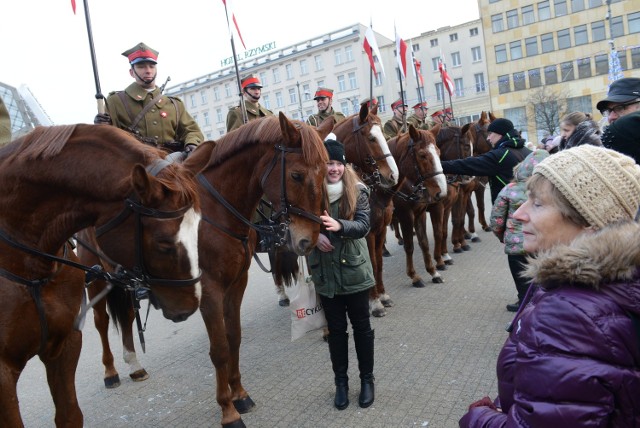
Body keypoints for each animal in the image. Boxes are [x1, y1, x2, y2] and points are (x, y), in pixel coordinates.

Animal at [0, 122, 201, 426]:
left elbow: (70, 415)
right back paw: (111, 371)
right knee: (102, 321)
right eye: (164, 243)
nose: (189, 307)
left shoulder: (64, 344)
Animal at [182, 113, 328, 428]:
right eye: (296, 175)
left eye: (325, 173)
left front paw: (239, 393)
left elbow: (234, 337)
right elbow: (219, 349)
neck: (212, 212)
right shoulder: (210, 290)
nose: (309, 241)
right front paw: (228, 409)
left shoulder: (237, 282)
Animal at [364, 125, 444, 316]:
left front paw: (433, 272)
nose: (441, 191)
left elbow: (423, 243)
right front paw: (414, 276)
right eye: (422, 155)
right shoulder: (406, 215)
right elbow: (409, 246)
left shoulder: (420, 213)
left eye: (438, 151)